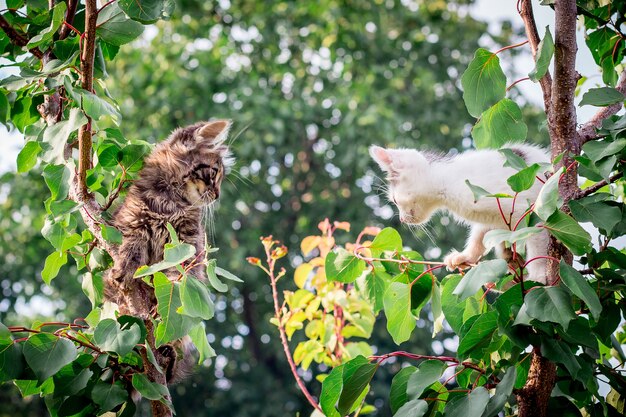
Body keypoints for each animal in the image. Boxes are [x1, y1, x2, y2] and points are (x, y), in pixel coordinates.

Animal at [368, 143, 548, 282]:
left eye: (395, 200)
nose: (401, 219)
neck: (446, 182)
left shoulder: (523, 207)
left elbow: (536, 239)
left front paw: (539, 275)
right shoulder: (492, 214)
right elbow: (480, 235)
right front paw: (466, 256)